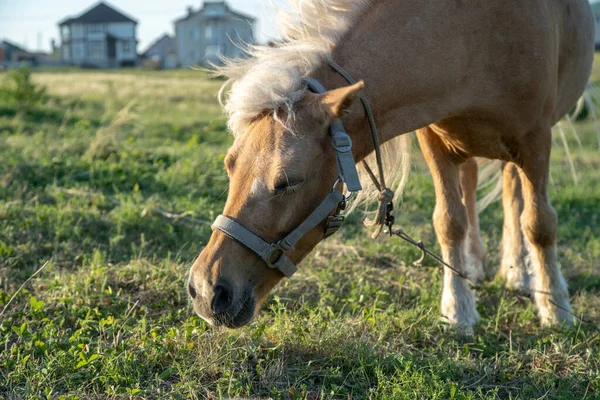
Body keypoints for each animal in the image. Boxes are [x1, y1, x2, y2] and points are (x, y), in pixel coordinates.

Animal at [188, 0, 596, 332]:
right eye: (229, 167)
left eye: (288, 181)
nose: (204, 290)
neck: (474, 36)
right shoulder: (436, 141)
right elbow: (450, 221)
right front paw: (458, 310)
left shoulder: (536, 141)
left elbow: (540, 224)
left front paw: (556, 308)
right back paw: (476, 265)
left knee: (514, 197)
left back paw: (520, 272)